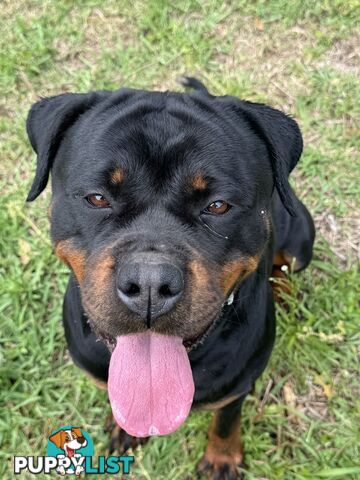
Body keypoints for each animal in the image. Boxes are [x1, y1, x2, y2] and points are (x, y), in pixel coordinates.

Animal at [27, 77, 316, 478]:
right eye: (97, 198)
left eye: (218, 205)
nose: (150, 283)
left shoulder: (238, 385)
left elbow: (226, 419)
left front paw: (222, 457)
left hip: (301, 236)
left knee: (287, 265)